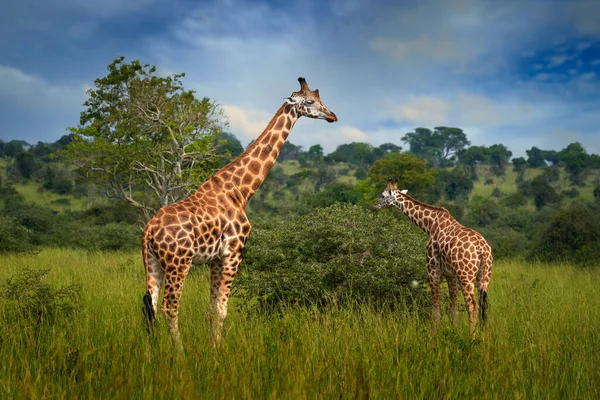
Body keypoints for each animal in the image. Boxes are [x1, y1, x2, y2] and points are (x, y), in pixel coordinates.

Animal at [141, 77, 338, 344]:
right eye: (309, 101)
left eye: (319, 99)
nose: (332, 116)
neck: (241, 191)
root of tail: (148, 232)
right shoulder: (234, 251)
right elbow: (222, 310)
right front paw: (218, 350)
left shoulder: (216, 258)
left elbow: (211, 309)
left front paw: (213, 347)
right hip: (178, 262)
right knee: (169, 307)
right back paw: (178, 351)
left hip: (153, 262)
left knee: (149, 306)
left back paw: (152, 351)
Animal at [376, 178, 492, 334]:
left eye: (382, 195)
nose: (375, 205)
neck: (429, 225)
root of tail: (482, 249)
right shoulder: (450, 274)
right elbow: (453, 311)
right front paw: (454, 333)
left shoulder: (433, 270)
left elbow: (435, 311)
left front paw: (432, 335)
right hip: (483, 276)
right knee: (483, 305)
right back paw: (483, 335)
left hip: (466, 276)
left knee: (473, 306)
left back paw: (471, 336)